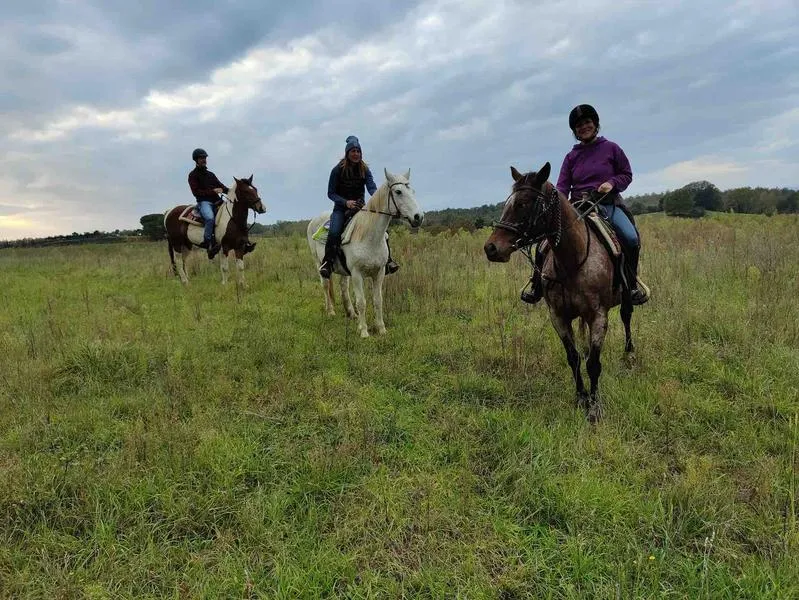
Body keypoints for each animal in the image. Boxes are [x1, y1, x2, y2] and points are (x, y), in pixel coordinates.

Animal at [306, 168, 423, 338]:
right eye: (398, 191)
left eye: (412, 191)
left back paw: (351, 314)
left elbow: (378, 300)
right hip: (319, 264)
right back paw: (331, 311)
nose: (418, 217)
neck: (369, 236)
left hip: (343, 270)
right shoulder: (357, 274)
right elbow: (361, 302)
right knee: (325, 285)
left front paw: (381, 329)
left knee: (343, 287)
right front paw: (363, 331)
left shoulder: (379, 273)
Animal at [483, 162, 636, 423]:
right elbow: (573, 358)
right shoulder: (558, 316)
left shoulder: (598, 315)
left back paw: (629, 354)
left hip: (626, 297)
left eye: (523, 203)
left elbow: (594, 364)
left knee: (627, 316)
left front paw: (594, 407)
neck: (571, 260)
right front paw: (581, 398)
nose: (491, 248)